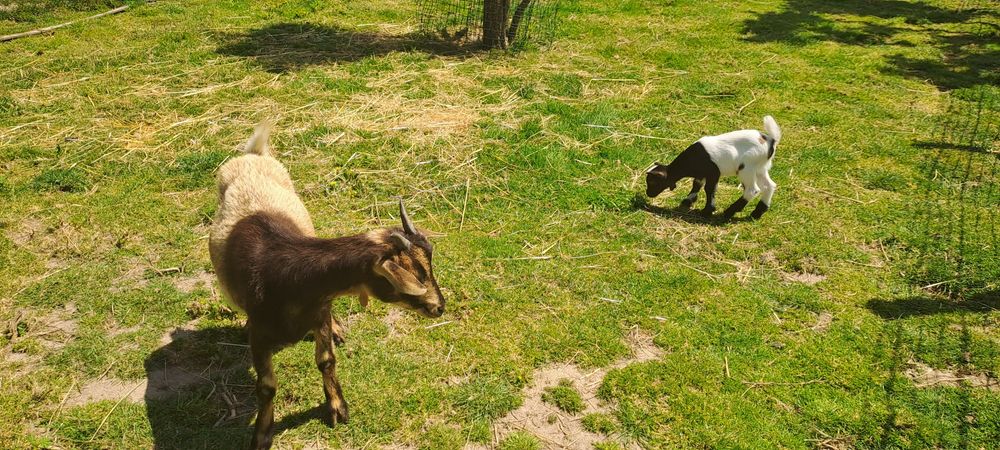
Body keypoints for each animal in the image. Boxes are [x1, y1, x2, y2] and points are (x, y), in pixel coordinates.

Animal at [208, 123, 445, 450]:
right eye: (414, 274)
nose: (439, 307)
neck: (284, 274)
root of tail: (252, 155)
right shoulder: (260, 332)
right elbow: (267, 386)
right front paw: (262, 434)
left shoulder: (319, 311)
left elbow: (326, 360)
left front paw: (337, 407)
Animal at [645, 116, 782, 220]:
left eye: (652, 182)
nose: (648, 194)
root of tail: (771, 141)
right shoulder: (702, 173)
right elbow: (697, 183)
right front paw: (688, 200)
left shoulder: (713, 172)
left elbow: (710, 189)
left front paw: (707, 211)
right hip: (761, 167)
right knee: (769, 185)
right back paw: (756, 213)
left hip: (747, 168)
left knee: (752, 190)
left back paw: (729, 212)